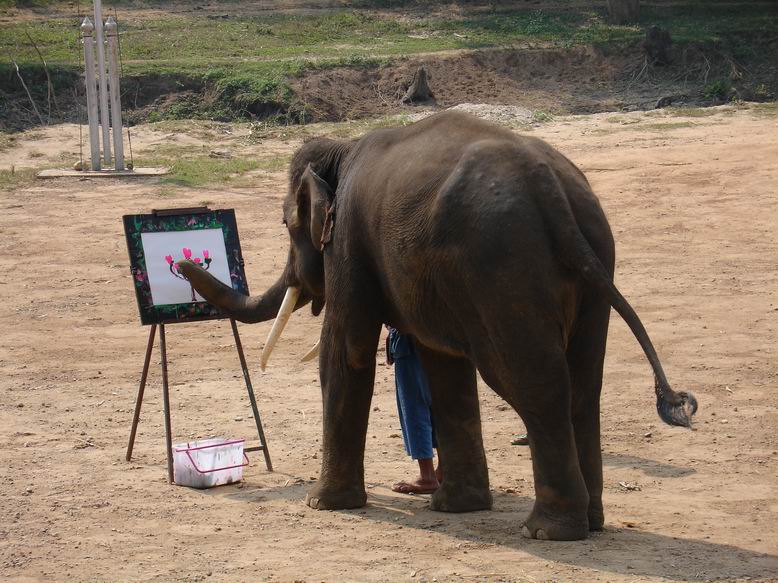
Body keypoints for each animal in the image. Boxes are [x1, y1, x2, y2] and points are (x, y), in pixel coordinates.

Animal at [179, 110, 696, 544]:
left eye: (287, 225)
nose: (183, 263)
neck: (342, 150)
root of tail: (552, 190)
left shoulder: (348, 242)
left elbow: (346, 351)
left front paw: (321, 504)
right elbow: (442, 364)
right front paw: (457, 508)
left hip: (505, 268)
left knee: (535, 384)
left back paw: (548, 531)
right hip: (594, 263)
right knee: (585, 386)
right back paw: (589, 522)